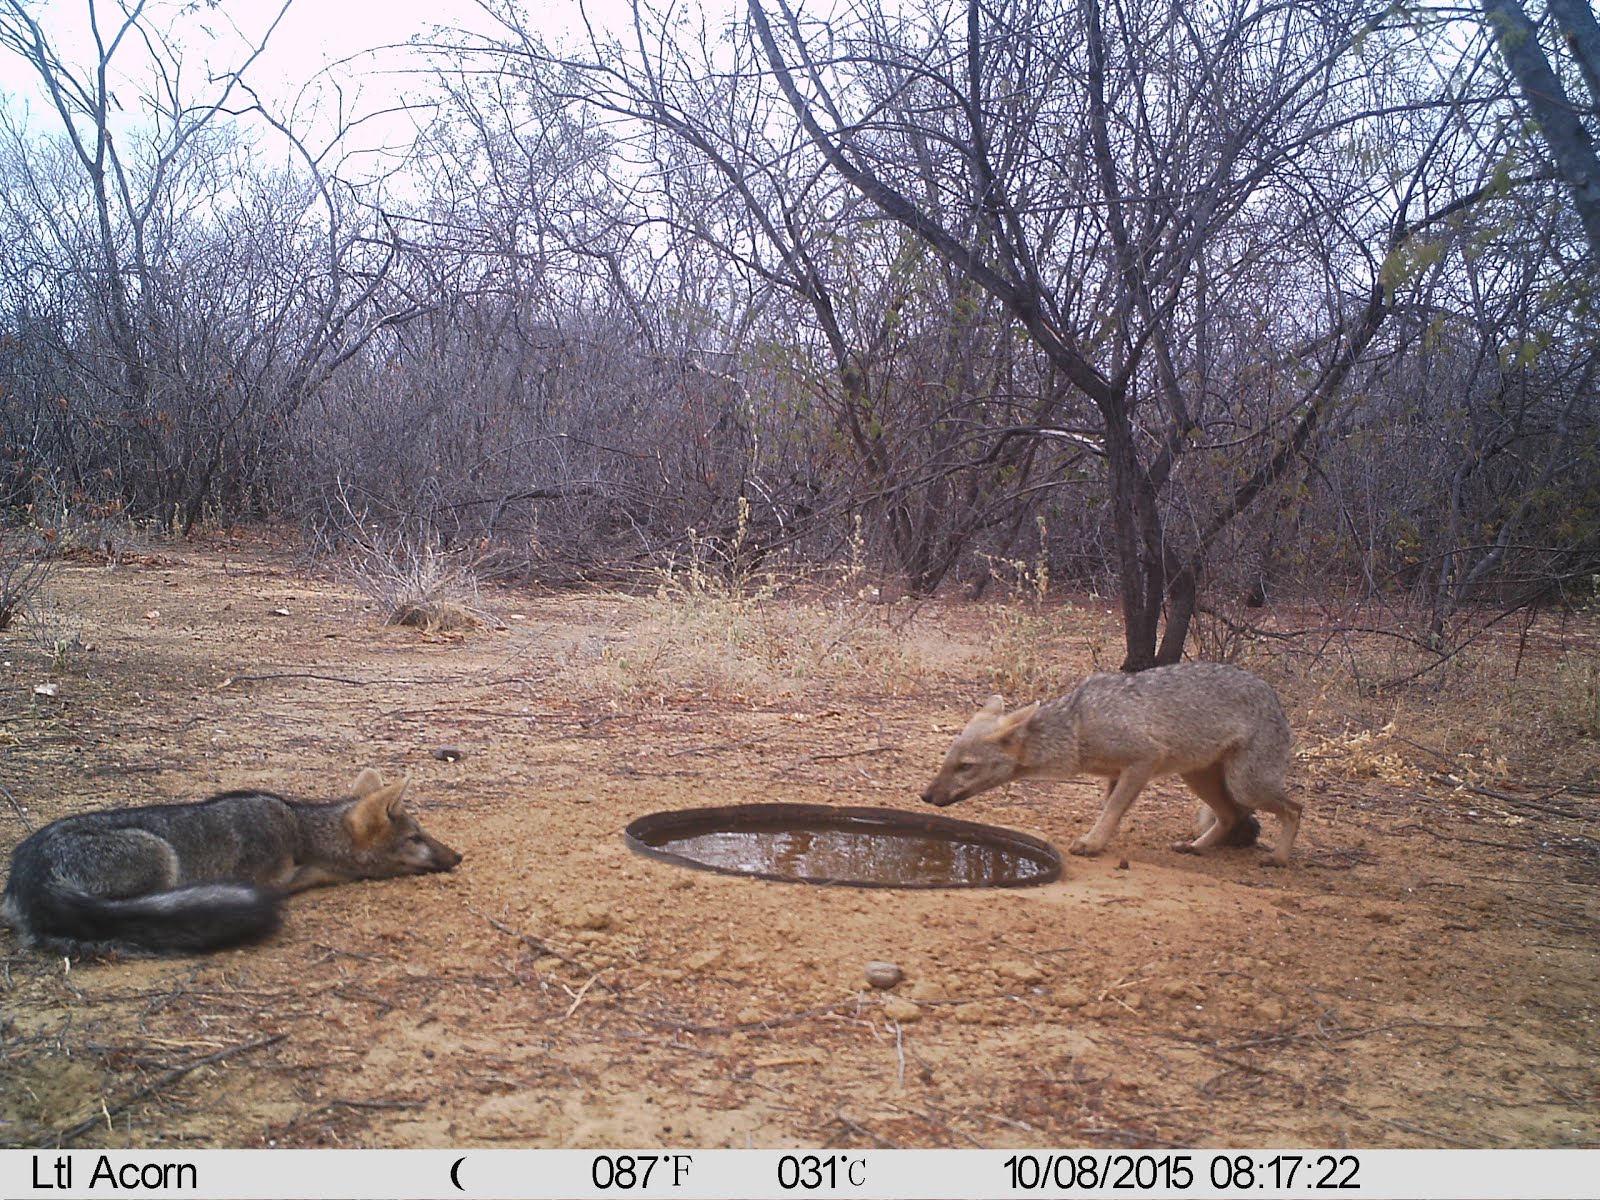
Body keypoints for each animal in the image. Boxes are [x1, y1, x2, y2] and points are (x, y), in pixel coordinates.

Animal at [3, 774, 464, 966]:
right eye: (416, 838)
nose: (458, 856)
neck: (300, 827)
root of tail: (27, 867)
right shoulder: (269, 875)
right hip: (160, 856)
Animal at [928, 662, 1299, 870]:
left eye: (965, 766)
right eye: (947, 762)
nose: (925, 797)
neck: (1077, 729)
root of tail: (1273, 696)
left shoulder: (1143, 761)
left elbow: (1113, 810)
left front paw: (1092, 844)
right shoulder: (1114, 775)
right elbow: (1108, 808)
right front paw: (1099, 839)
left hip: (1245, 786)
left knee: (1295, 808)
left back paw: (1279, 859)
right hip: (1199, 779)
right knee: (1230, 817)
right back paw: (1194, 848)